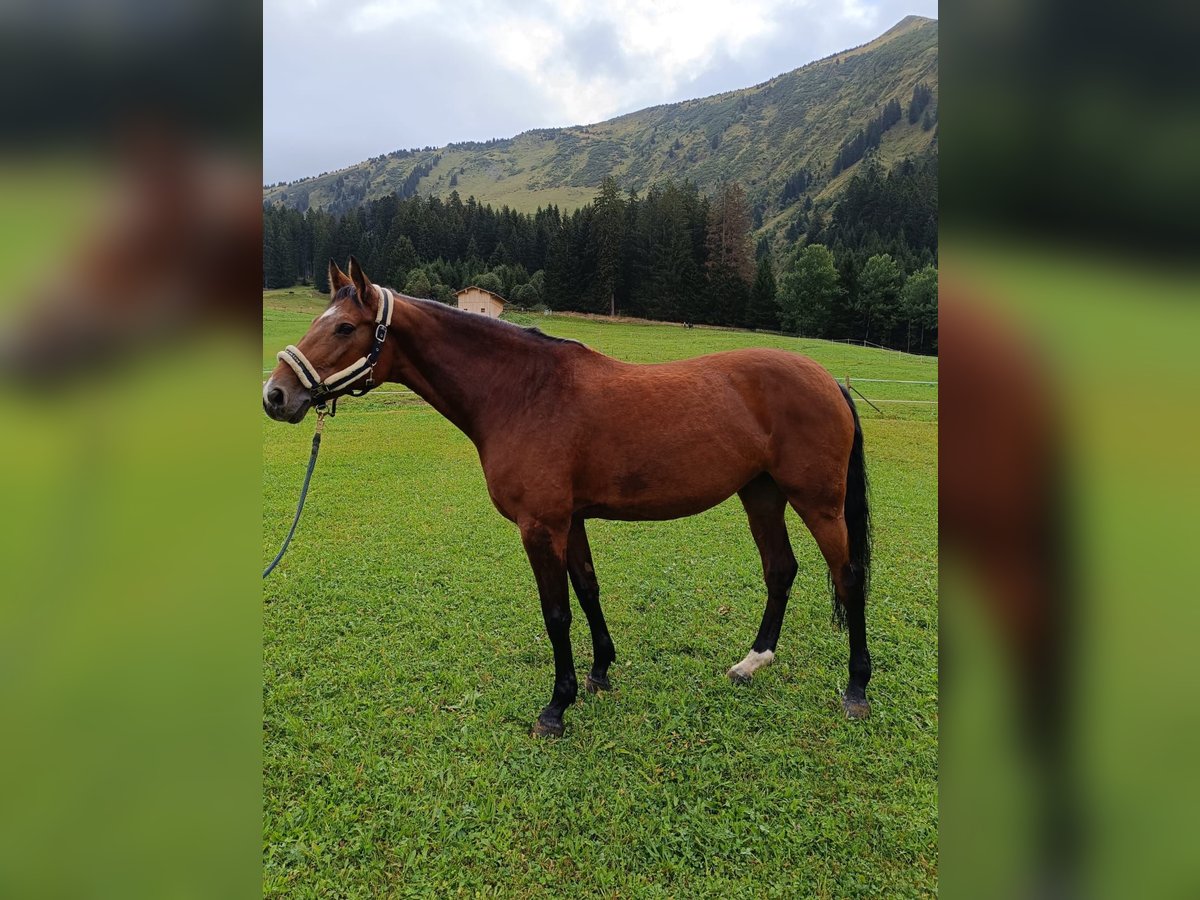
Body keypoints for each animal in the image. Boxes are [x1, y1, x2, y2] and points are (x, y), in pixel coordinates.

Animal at [262, 256, 873, 734]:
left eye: (344, 328)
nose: (276, 394)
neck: (524, 393)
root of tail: (828, 381)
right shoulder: (570, 521)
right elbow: (588, 590)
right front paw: (599, 672)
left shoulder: (541, 526)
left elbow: (556, 611)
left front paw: (557, 706)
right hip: (761, 494)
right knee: (781, 569)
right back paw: (753, 661)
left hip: (818, 502)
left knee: (848, 577)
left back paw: (856, 689)